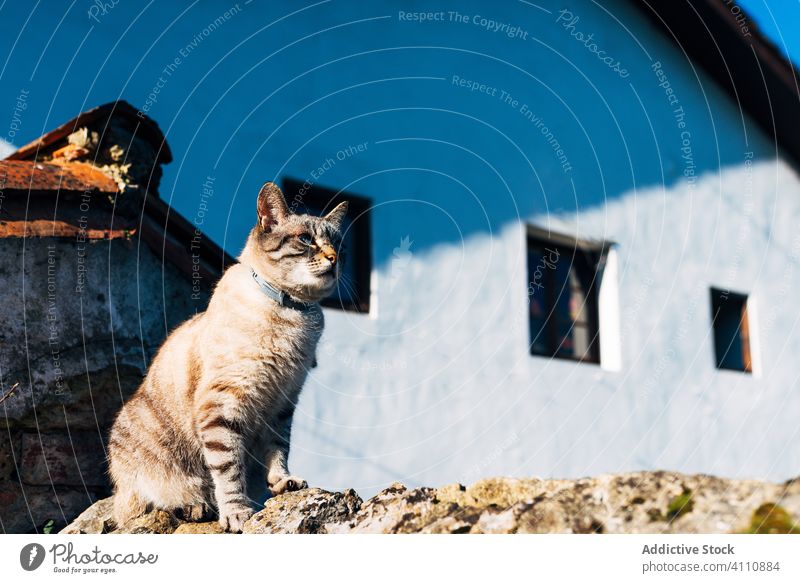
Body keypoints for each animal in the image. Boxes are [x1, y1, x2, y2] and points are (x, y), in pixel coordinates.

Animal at [106, 182, 346, 532]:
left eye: (337, 243)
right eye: (306, 239)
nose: (334, 258)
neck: (293, 312)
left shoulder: (282, 402)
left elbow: (278, 449)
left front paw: (282, 481)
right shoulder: (224, 403)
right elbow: (229, 470)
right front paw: (237, 513)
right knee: (148, 505)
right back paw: (195, 505)